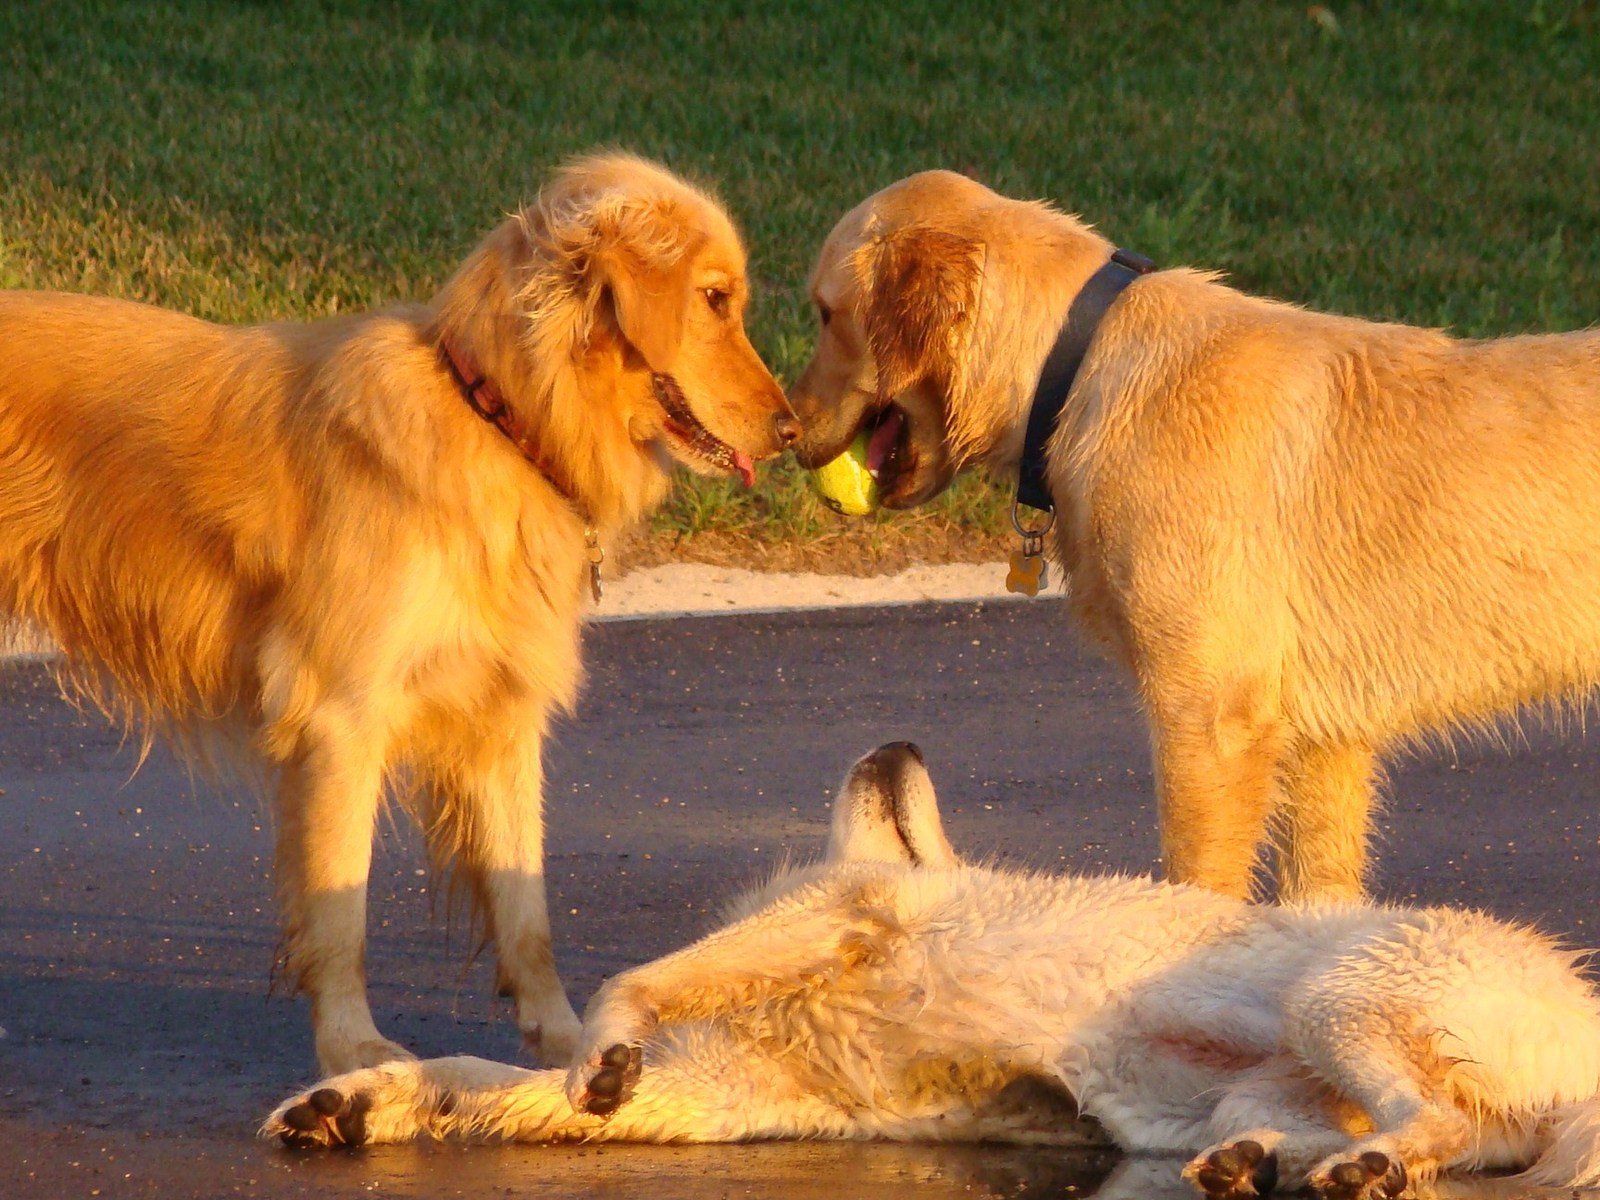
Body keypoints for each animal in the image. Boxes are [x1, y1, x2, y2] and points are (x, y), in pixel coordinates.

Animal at [0, 155, 800, 1075]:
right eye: (714, 299)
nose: (795, 430)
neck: (496, 421)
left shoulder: (500, 712)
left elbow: (526, 908)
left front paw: (567, 1042)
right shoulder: (341, 715)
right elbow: (340, 910)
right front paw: (353, 1049)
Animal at [262, 748, 1600, 1196]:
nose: (898, 743)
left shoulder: (846, 911)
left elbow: (615, 996)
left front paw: (596, 1049)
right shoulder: (714, 1092)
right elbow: (473, 1075)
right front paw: (357, 1101)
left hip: (1342, 1003)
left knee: (1435, 1127)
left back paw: (1353, 1170)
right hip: (1252, 1088)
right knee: (1416, 1136)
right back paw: (1265, 1166)